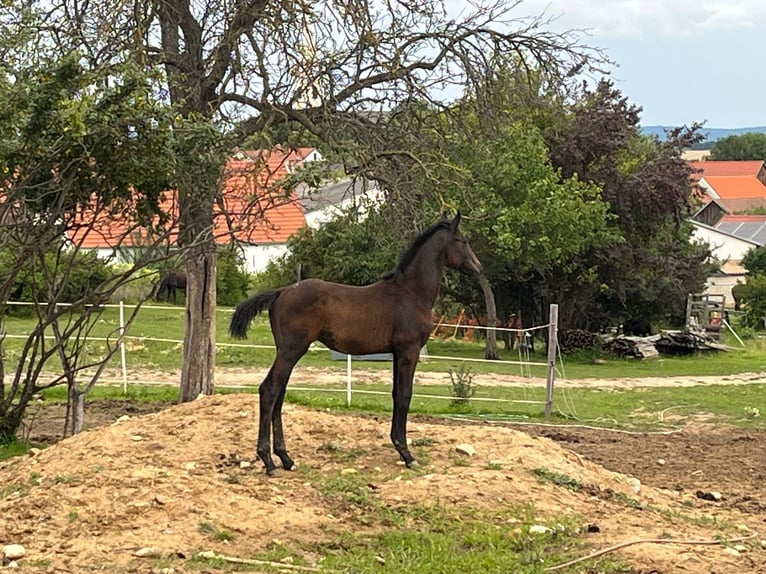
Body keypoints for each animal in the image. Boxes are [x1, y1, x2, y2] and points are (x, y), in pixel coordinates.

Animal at [229, 212, 482, 476]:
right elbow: (405, 395)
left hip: (289, 353)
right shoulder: (408, 352)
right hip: (291, 351)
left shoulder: (397, 354)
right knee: (269, 390)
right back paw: (269, 462)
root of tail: (281, 292)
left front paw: (399, 446)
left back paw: (286, 459)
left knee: (279, 393)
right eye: (463, 241)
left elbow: (396, 394)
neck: (410, 293)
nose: (478, 268)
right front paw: (407, 454)